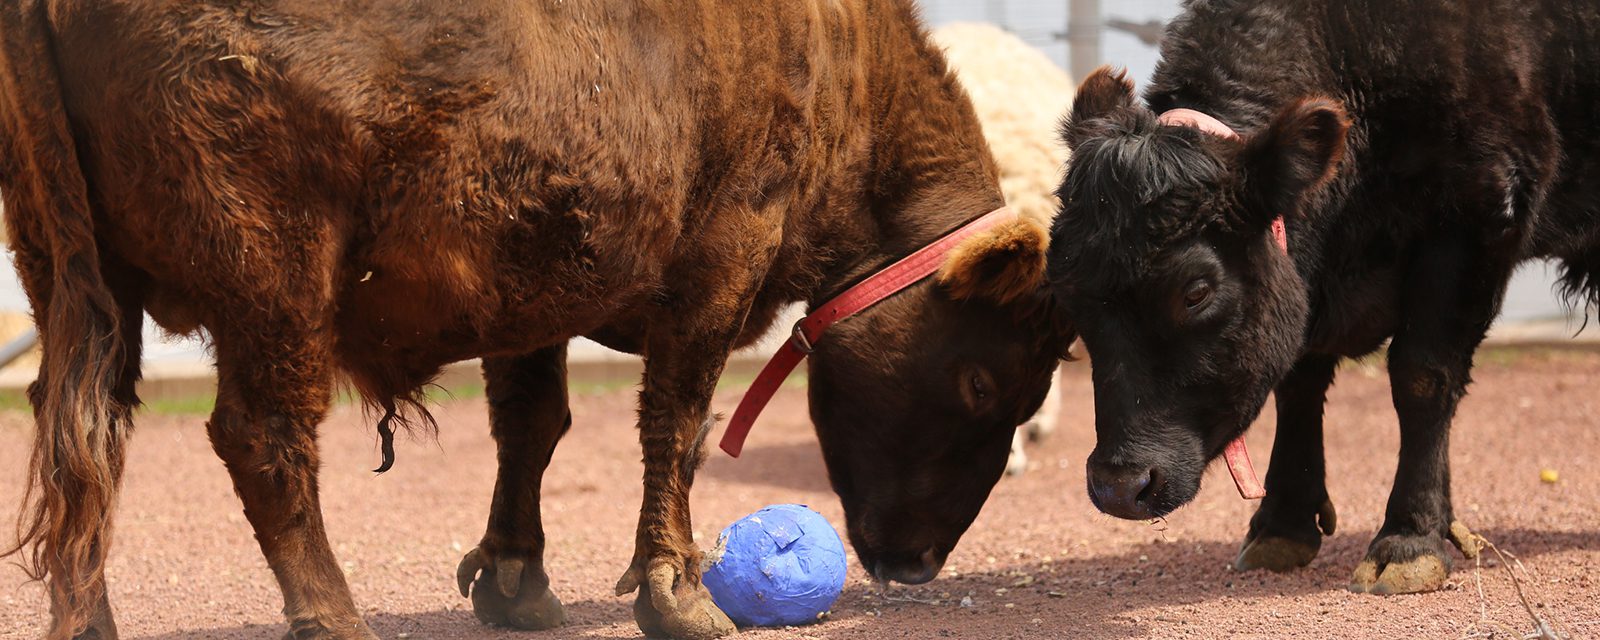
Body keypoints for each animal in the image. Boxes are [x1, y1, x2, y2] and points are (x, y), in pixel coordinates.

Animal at [3, 1, 1075, 640]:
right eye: (984, 383)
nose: (914, 564)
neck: (840, 66)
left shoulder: (532, 289)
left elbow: (531, 426)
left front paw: (519, 581)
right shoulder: (722, 257)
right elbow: (675, 425)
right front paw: (678, 592)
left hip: (72, 280)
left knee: (82, 440)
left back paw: (89, 622)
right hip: (273, 276)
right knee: (260, 440)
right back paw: (334, 616)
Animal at [1049, 0, 1587, 595]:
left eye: (1196, 291)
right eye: (1065, 290)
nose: (1120, 485)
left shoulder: (1475, 221)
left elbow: (1422, 377)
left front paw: (1410, 539)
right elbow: (1298, 385)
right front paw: (1284, 523)